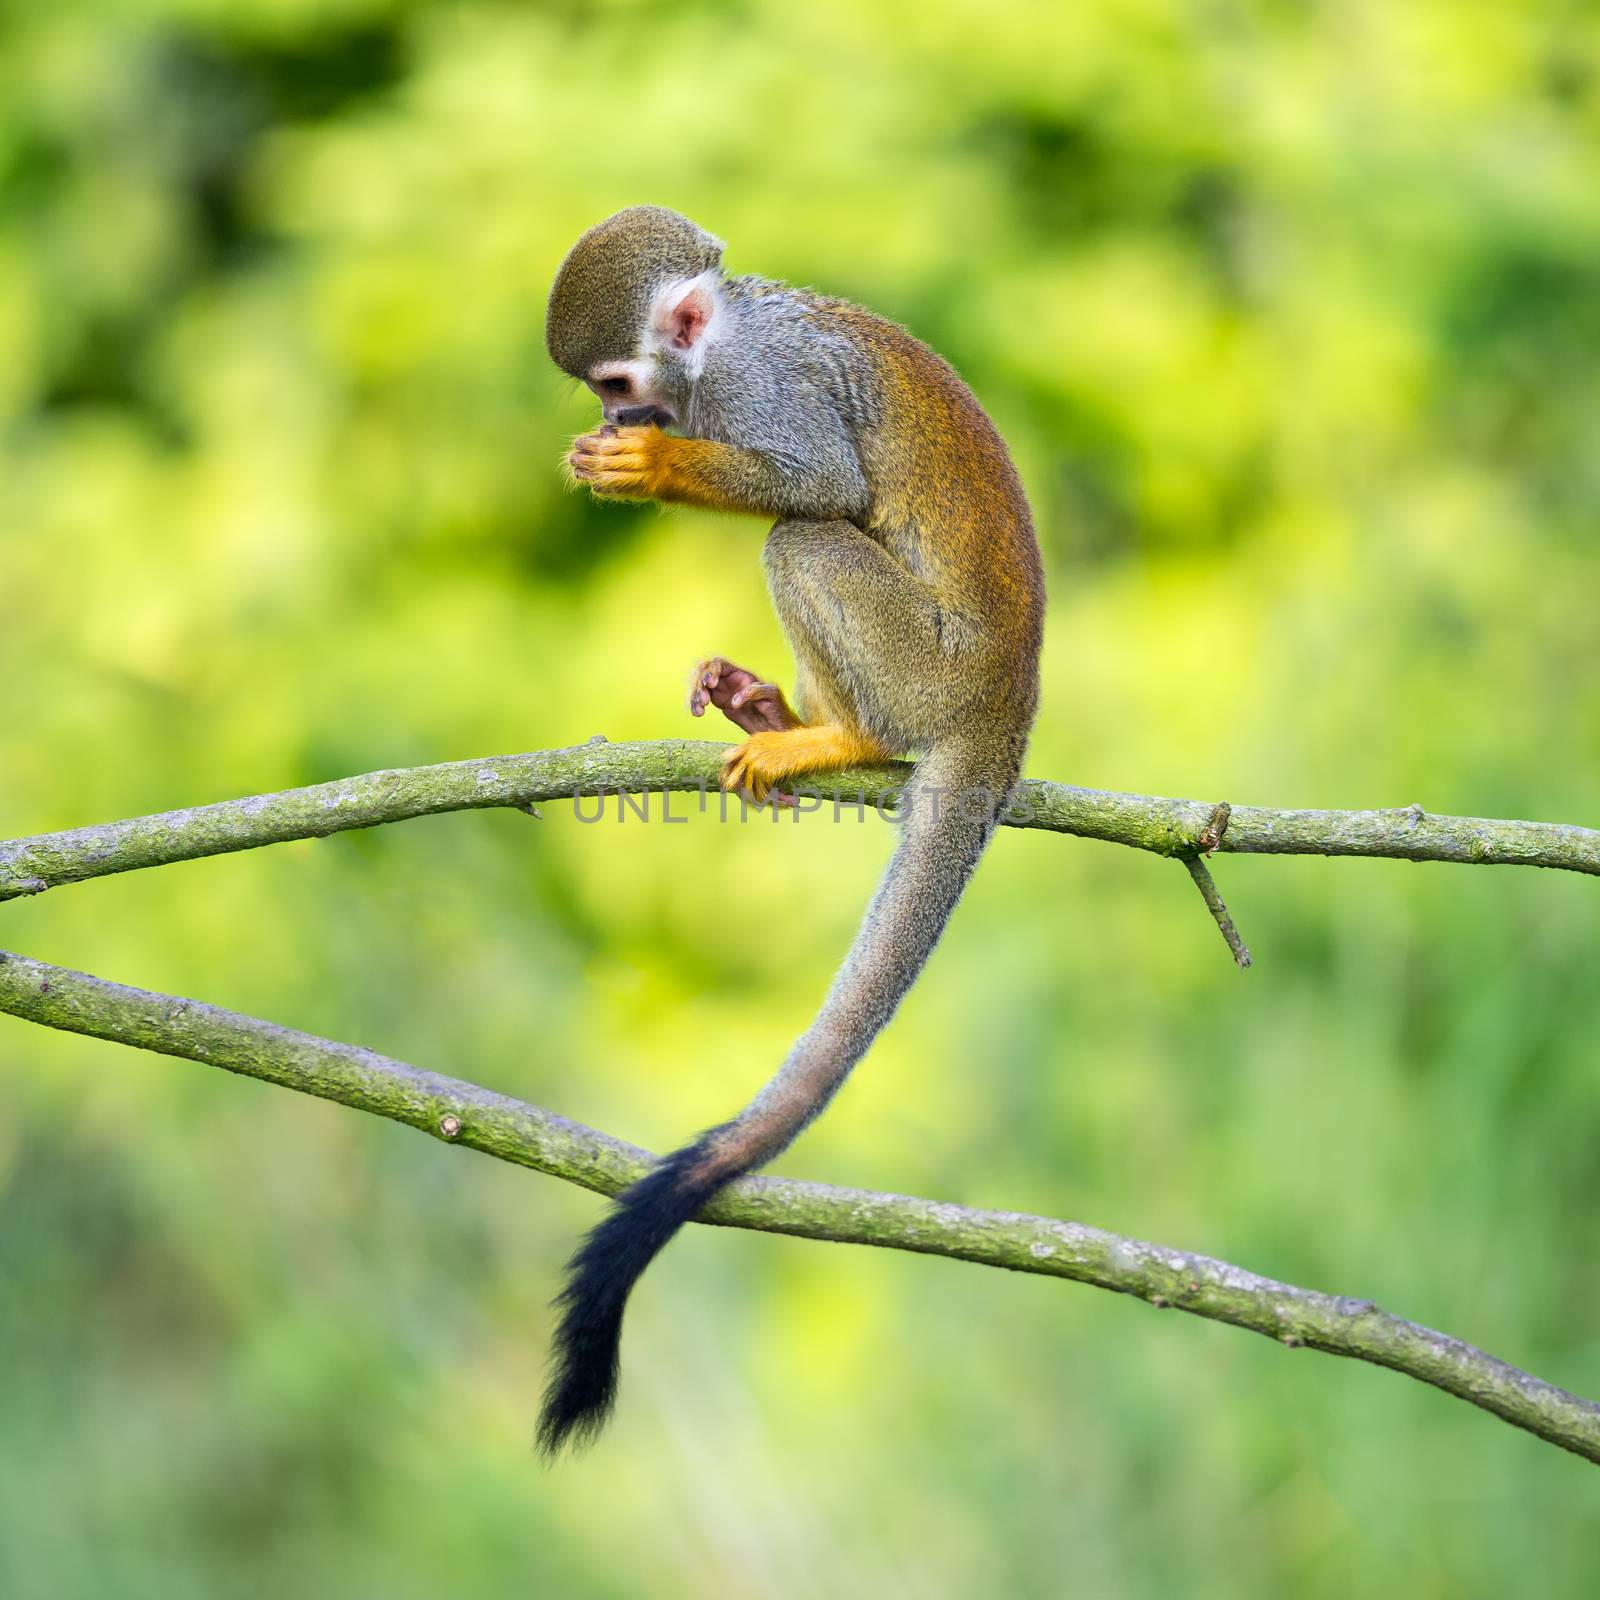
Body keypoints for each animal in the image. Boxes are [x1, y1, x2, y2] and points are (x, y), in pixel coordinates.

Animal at [537, 203, 1043, 1452]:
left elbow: (819, 479)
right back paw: (784, 716)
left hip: (925, 666)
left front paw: (652, 469)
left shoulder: (765, 387)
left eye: (616, 382)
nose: (613, 421)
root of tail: (1007, 702)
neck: (718, 347)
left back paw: (845, 737)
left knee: (797, 534)